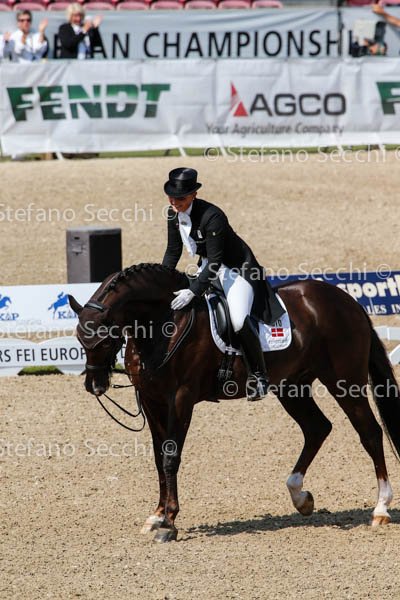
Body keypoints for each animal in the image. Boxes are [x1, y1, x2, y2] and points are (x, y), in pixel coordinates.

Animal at [69, 263, 400, 543]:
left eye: (105, 339)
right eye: (79, 339)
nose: (94, 386)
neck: (164, 322)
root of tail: (348, 302)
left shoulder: (181, 398)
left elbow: (171, 456)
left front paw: (169, 523)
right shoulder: (152, 401)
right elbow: (158, 457)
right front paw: (157, 516)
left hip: (344, 383)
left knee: (370, 433)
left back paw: (380, 509)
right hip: (292, 386)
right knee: (317, 428)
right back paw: (300, 497)